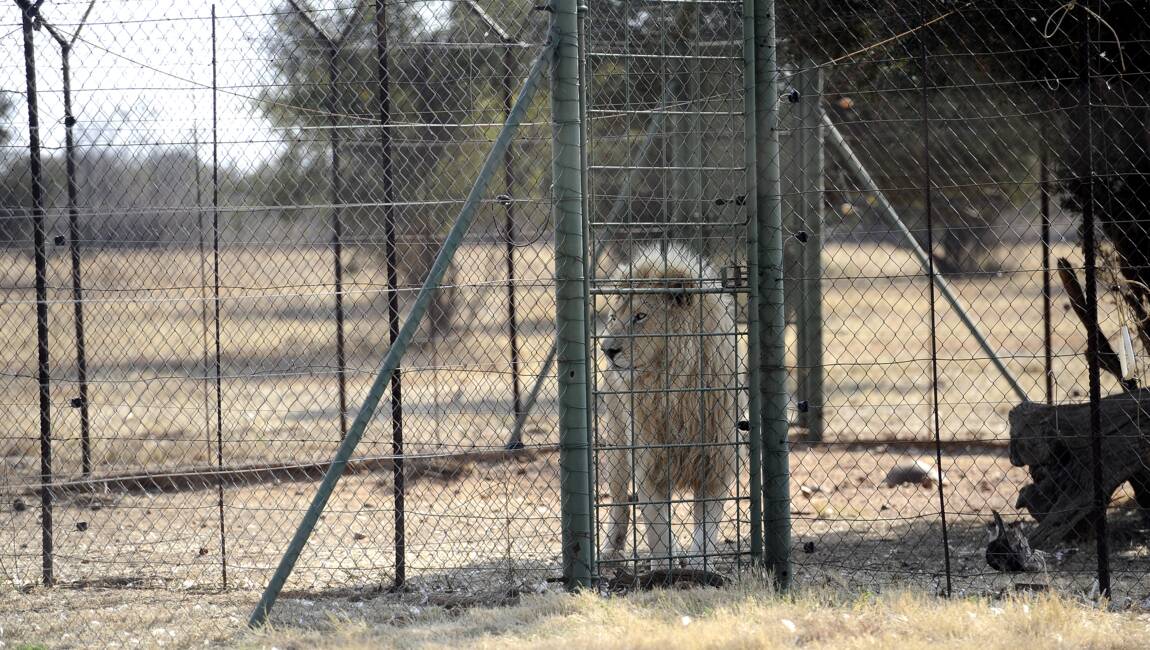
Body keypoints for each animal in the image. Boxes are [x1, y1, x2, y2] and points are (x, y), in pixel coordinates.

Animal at [597, 245, 739, 566]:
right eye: (613, 316)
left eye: (640, 316)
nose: (607, 350)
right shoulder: (649, 465)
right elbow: (658, 530)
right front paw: (662, 568)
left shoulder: (716, 467)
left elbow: (705, 531)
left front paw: (699, 566)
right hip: (617, 444)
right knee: (620, 502)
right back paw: (611, 549)